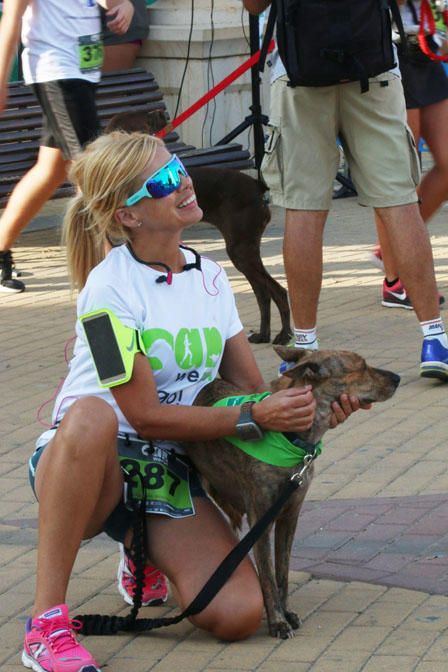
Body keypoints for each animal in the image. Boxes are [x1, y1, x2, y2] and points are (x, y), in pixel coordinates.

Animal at [106, 111, 294, 346]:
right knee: (263, 292)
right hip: (244, 250)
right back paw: (263, 334)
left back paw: (284, 334)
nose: (165, 113)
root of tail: (257, 186)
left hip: (240, 249)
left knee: (277, 291)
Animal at [186, 350, 400, 636]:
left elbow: (282, 573)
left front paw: (285, 612)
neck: (288, 439)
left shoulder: (289, 517)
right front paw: (277, 620)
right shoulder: (261, 521)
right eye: (362, 367)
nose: (397, 378)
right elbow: (266, 575)